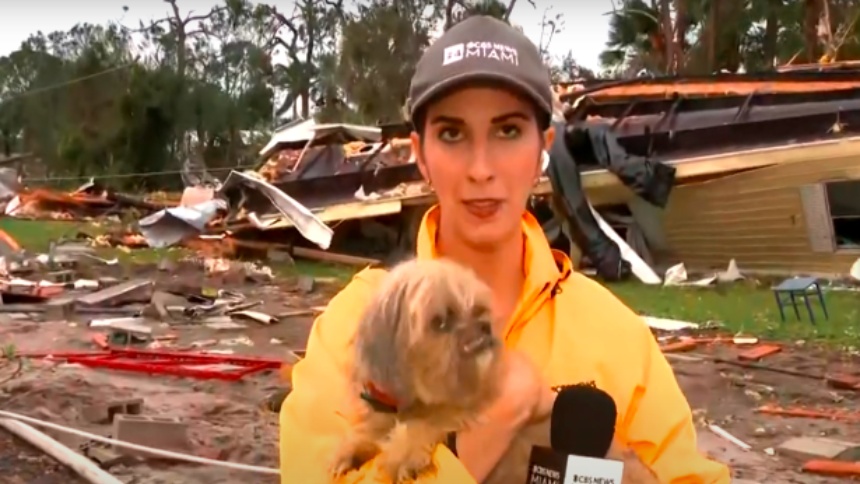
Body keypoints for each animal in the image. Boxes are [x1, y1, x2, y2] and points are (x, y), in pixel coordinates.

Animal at [330, 260, 504, 484]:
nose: (484, 326)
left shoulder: (454, 407)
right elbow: (372, 424)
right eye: (440, 322)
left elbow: (422, 424)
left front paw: (403, 456)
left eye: (478, 311)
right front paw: (352, 448)